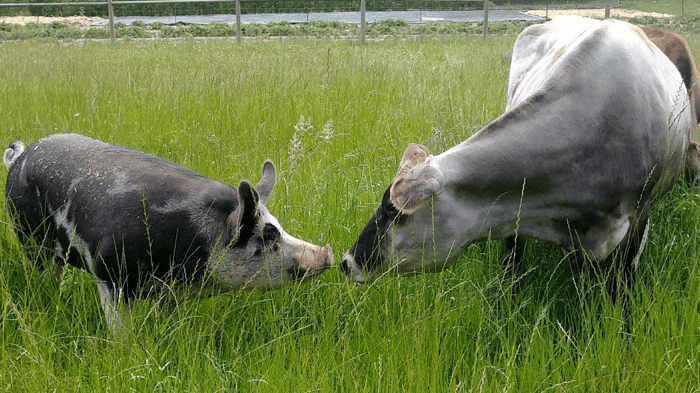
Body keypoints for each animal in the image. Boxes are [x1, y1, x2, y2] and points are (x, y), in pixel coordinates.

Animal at [3, 133, 334, 330]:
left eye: (280, 227)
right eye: (268, 236)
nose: (326, 253)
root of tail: (20, 156)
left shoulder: (172, 294)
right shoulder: (109, 274)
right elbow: (119, 329)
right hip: (30, 238)